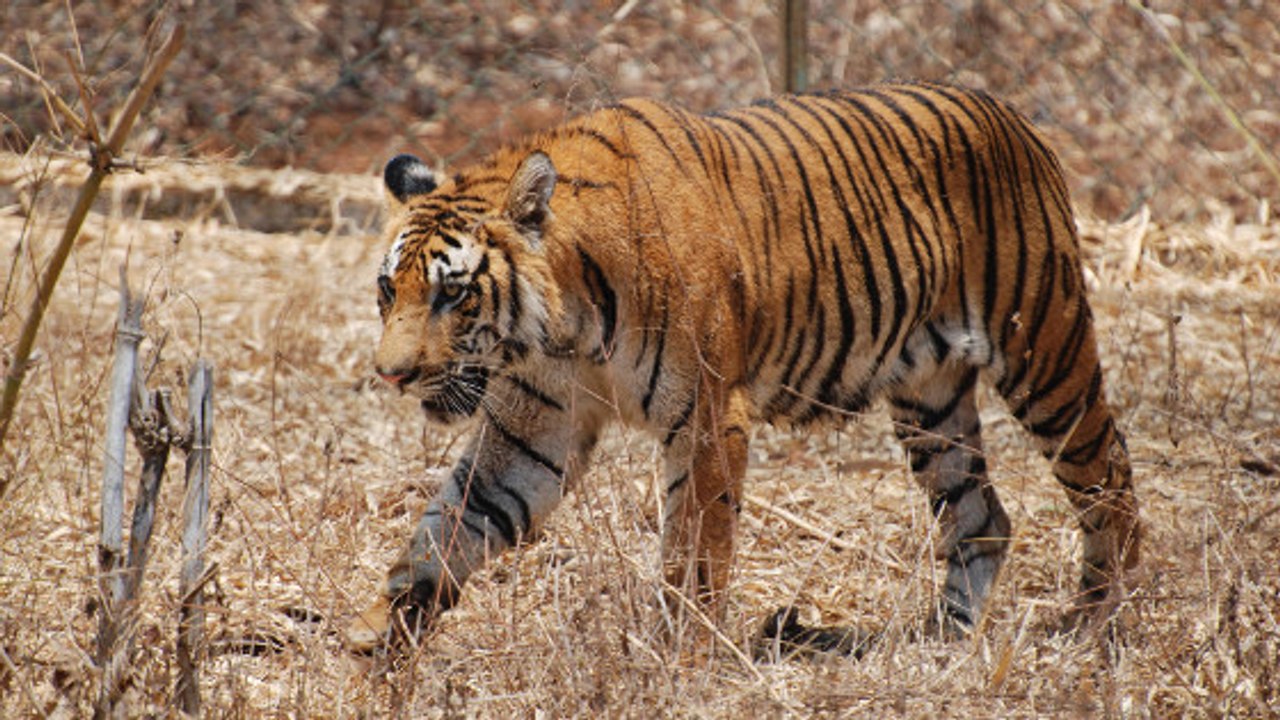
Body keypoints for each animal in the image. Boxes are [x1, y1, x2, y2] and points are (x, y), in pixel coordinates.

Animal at [348, 81, 1141, 654]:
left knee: (1108, 476)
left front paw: (677, 659)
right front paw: (381, 642)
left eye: (453, 293)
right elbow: (450, 527)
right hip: (932, 401)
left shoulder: (706, 419)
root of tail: (1012, 116)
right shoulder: (533, 429)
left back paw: (1104, 622)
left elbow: (695, 554)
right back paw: (943, 642)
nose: (391, 376)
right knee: (982, 517)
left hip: (1046, 354)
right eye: (389, 289)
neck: (562, 328)